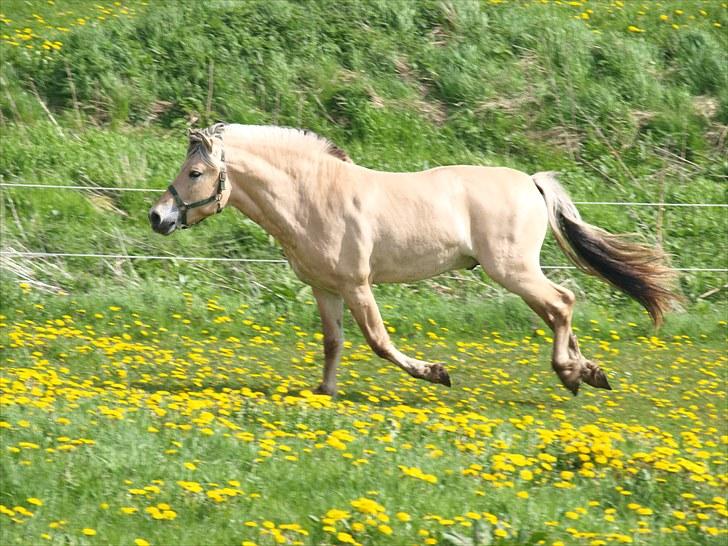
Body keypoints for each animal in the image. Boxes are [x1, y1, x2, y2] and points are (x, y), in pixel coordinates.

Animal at [148, 122, 676, 396]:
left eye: (194, 172)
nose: (158, 216)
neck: (311, 196)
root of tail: (531, 181)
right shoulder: (325, 288)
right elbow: (333, 343)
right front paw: (324, 393)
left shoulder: (357, 285)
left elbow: (379, 342)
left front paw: (436, 373)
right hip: (517, 273)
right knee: (556, 309)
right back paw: (588, 372)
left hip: (513, 270)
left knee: (562, 303)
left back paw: (570, 373)